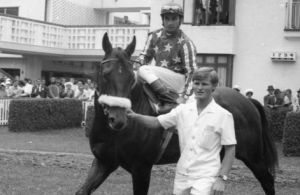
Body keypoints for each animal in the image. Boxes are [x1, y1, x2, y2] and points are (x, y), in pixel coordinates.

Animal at [76, 32, 278, 194]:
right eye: (105, 74)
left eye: (131, 77)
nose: (118, 119)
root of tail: (247, 100)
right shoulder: (104, 162)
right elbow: (82, 190)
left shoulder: (141, 168)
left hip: (253, 156)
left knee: (268, 181)